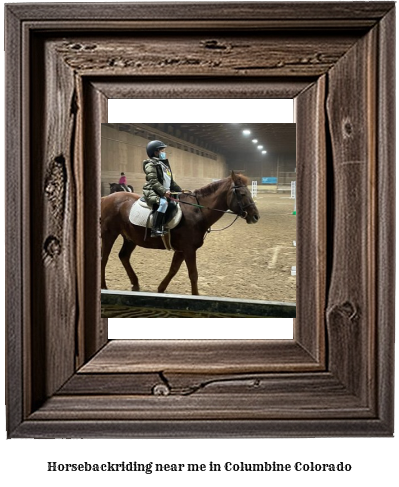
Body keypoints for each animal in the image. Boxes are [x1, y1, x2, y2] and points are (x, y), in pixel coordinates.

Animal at [101, 172, 260, 296]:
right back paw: (104, 286)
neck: (197, 211)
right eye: (242, 194)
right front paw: (195, 295)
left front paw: (160, 289)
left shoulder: (182, 250)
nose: (256, 216)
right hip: (109, 234)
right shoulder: (189, 249)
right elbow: (193, 274)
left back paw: (135, 284)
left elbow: (173, 269)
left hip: (130, 238)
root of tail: (106, 198)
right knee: (104, 259)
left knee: (124, 256)